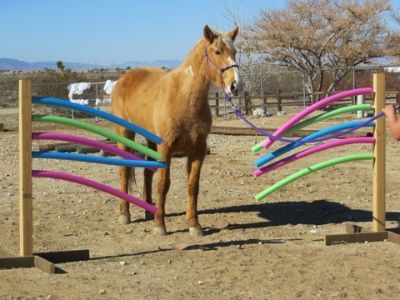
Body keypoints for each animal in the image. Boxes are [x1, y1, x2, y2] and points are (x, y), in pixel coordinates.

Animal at [111, 25, 239, 237]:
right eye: (217, 51)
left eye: (235, 52)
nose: (235, 85)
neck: (184, 97)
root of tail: (123, 79)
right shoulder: (166, 148)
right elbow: (163, 185)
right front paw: (160, 226)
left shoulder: (198, 150)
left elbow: (193, 185)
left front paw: (194, 225)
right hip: (124, 133)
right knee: (124, 171)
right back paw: (124, 215)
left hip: (150, 139)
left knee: (147, 171)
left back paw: (148, 210)